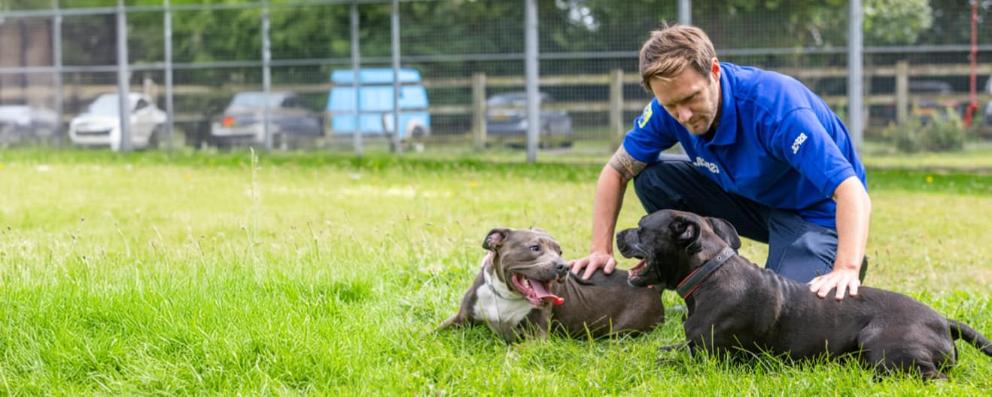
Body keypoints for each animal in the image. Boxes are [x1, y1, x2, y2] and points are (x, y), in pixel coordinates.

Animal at [438, 227, 664, 342]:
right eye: (534, 248)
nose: (564, 267)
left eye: (560, 251)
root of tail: (654, 288)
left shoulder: (537, 336)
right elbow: (434, 332)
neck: (504, 295)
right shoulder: (460, 318)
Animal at [616, 207, 988, 378]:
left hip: (884, 346)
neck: (708, 273)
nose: (619, 234)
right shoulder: (694, 347)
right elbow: (672, 348)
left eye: (642, 227)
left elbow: (669, 361)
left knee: (934, 378)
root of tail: (943, 320)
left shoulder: (711, 362)